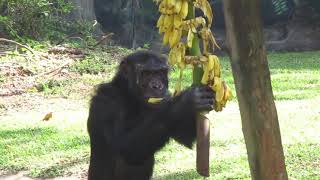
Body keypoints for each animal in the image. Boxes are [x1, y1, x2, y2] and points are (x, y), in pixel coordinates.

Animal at [87, 50, 215, 180]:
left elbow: (184, 136)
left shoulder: (165, 100)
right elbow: (123, 145)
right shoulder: (107, 102)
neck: (131, 96)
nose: (157, 85)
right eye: (146, 74)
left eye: (159, 73)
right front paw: (188, 100)